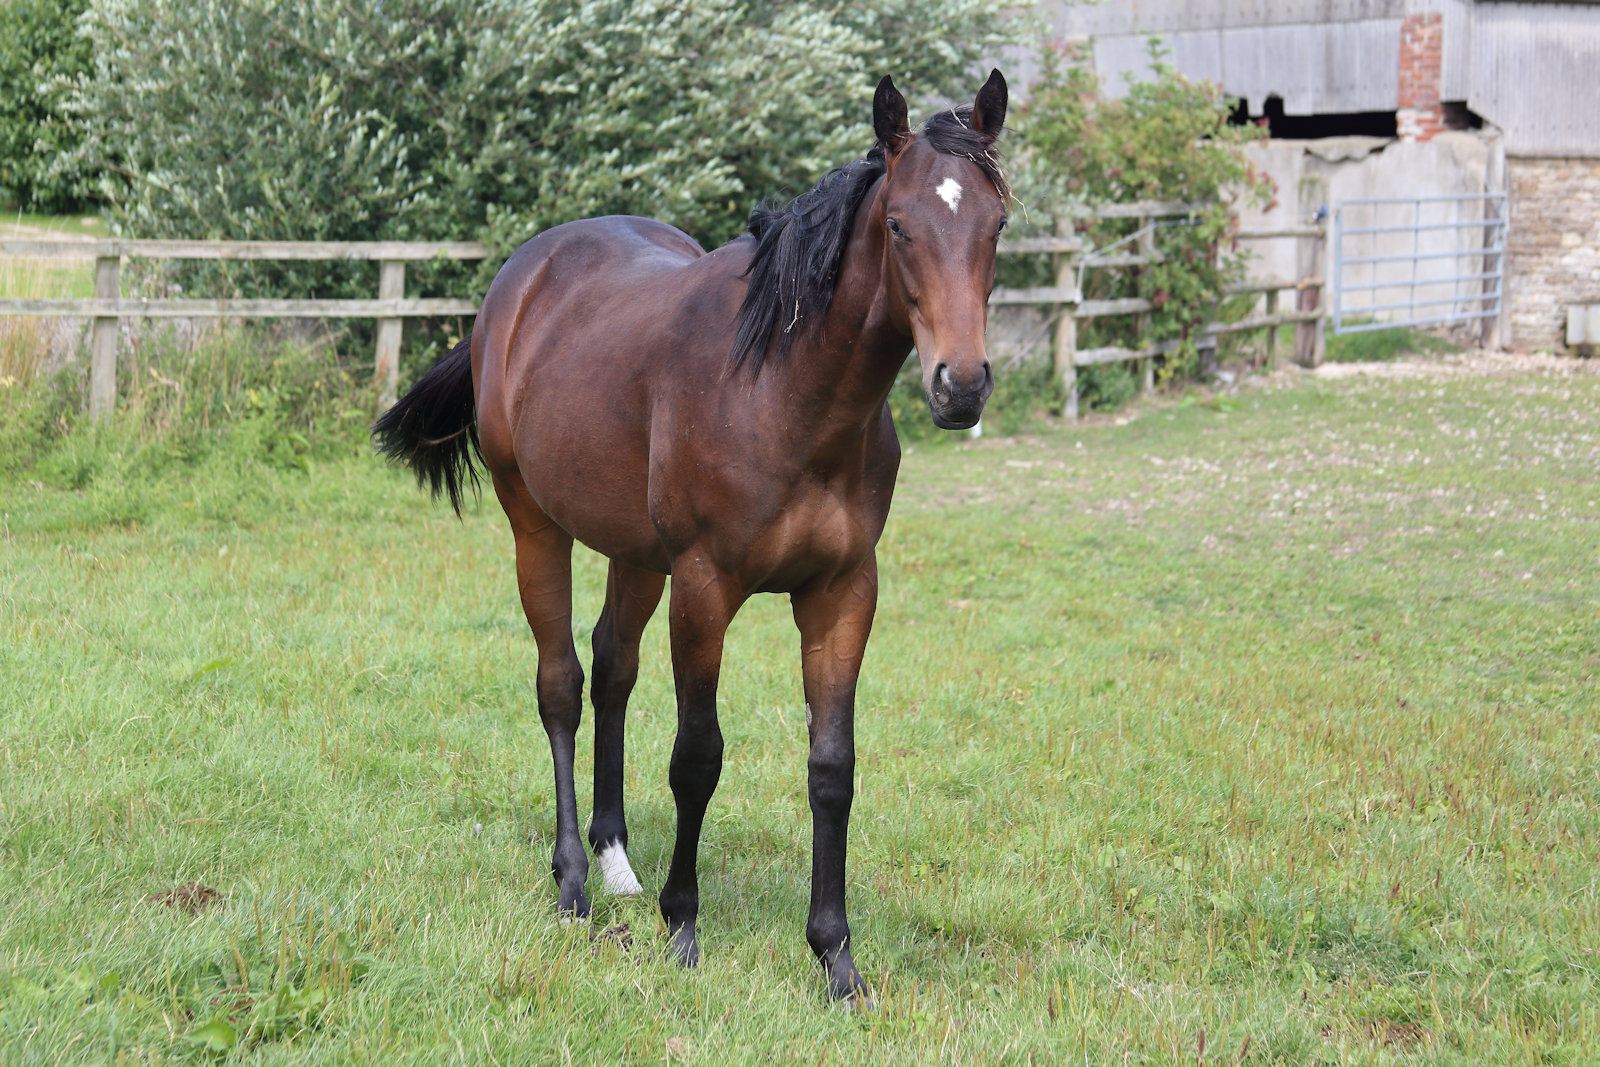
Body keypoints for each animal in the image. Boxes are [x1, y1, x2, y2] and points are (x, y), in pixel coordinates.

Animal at [372, 70, 1009, 1002]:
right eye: (899, 225)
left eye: (996, 224)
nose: (960, 386)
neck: (785, 391)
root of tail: (521, 279)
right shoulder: (706, 587)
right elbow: (696, 756)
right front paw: (683, 927)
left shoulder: (843, 591)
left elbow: (832, 767)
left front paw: (836, 957)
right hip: (536, 524)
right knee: (560, 684)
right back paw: (572, 882)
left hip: (637, 555)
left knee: (611, 667)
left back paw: (616, 863)